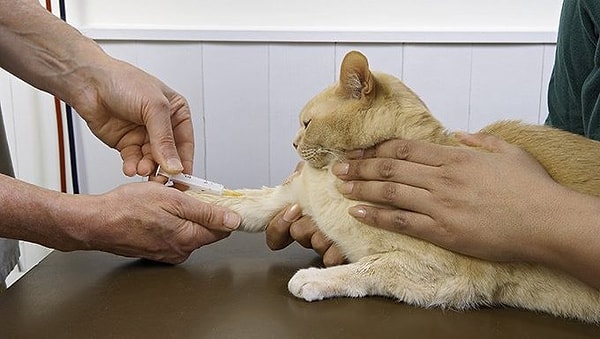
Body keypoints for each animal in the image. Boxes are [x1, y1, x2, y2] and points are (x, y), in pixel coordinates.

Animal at [188, 50, 600, 324]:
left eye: (306, 123)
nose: (292, 143)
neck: (331, 181)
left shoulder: (440, 271)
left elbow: (368, 268)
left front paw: (314, 277)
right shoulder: (292, 194)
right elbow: (244, 202)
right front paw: (191, 196)